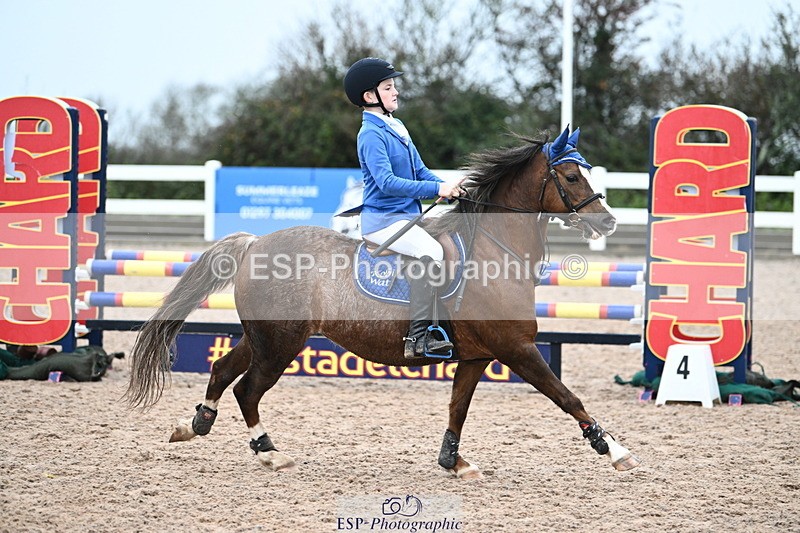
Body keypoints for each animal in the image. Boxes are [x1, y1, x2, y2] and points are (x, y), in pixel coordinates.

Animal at [126, 126, 641, 479]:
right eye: (571, 174)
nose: (609, 223)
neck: (493, 250)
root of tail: (255, 243)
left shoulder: (477, 356)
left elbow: (458, 408)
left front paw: (453, 462)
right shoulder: (517, 349)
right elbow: (567, 396)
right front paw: (615, 450)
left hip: (265, 336)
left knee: (221, 370)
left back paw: (193, 424)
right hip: (280, 344)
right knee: (247, 389)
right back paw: (270, 452)